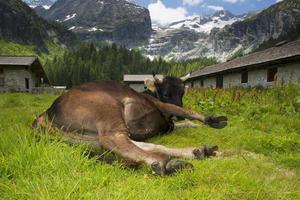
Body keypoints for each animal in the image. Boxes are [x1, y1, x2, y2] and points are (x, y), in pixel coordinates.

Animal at [32, 76, 226, 175]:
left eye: (182, 92)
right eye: (166, 93)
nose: (175, 119)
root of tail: (46, 112)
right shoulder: (162, 105)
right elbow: (186, 111)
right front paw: (212, 119)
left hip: (84, 137)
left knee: (144, 145)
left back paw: (198, 151)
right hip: (107, 110)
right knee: (115, 140)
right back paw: (166, 163)